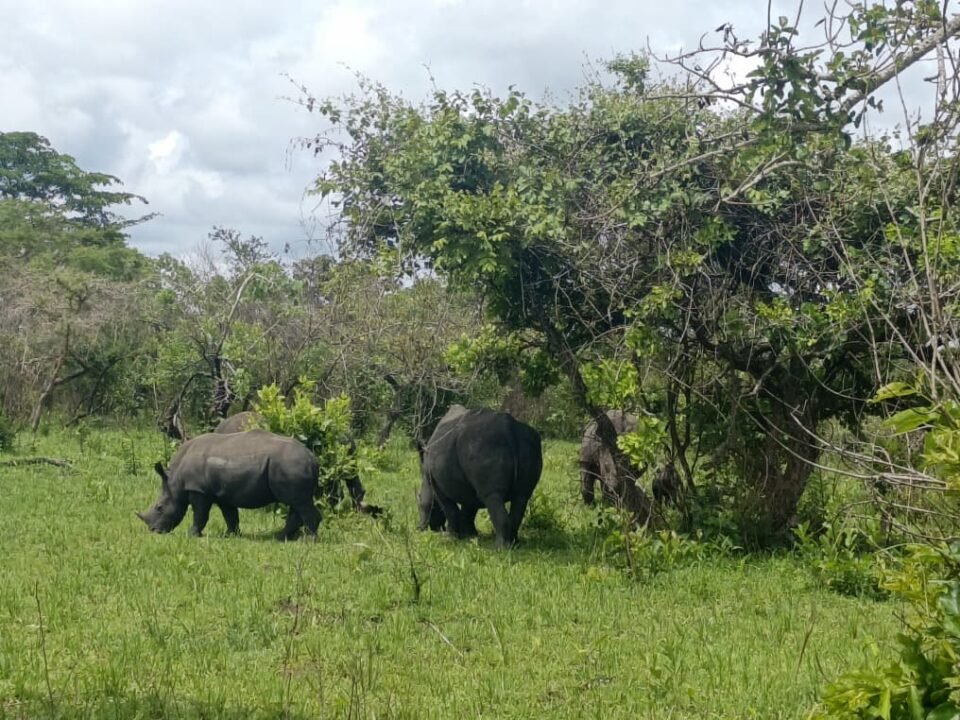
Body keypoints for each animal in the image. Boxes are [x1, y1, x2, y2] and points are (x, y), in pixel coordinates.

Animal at [137, 429, 322, 539]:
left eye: (159, 507)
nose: (154, 531)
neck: (175, 479)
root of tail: (312, 458)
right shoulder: (221, 494)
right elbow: (230, 515)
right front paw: (231, 535)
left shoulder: (199, 489)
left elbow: (200, 514)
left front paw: (193, 535)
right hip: (291, 465)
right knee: (296, 503)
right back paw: (281, 538)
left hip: (291, 464)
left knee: (299, 502)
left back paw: (308, 540)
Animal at [417, 405, 542, 549]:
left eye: (419, 504)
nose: (419, 528)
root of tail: (508, 427)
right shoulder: (468, 485)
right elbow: (469, 509)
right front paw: (470, 536)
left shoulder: (436, 484)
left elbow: (450, 509)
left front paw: (450, 537)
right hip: (528, 443)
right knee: (521, 496)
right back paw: (514, 544)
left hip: (483, 445)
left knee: (492, 496)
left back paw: (499, 548)